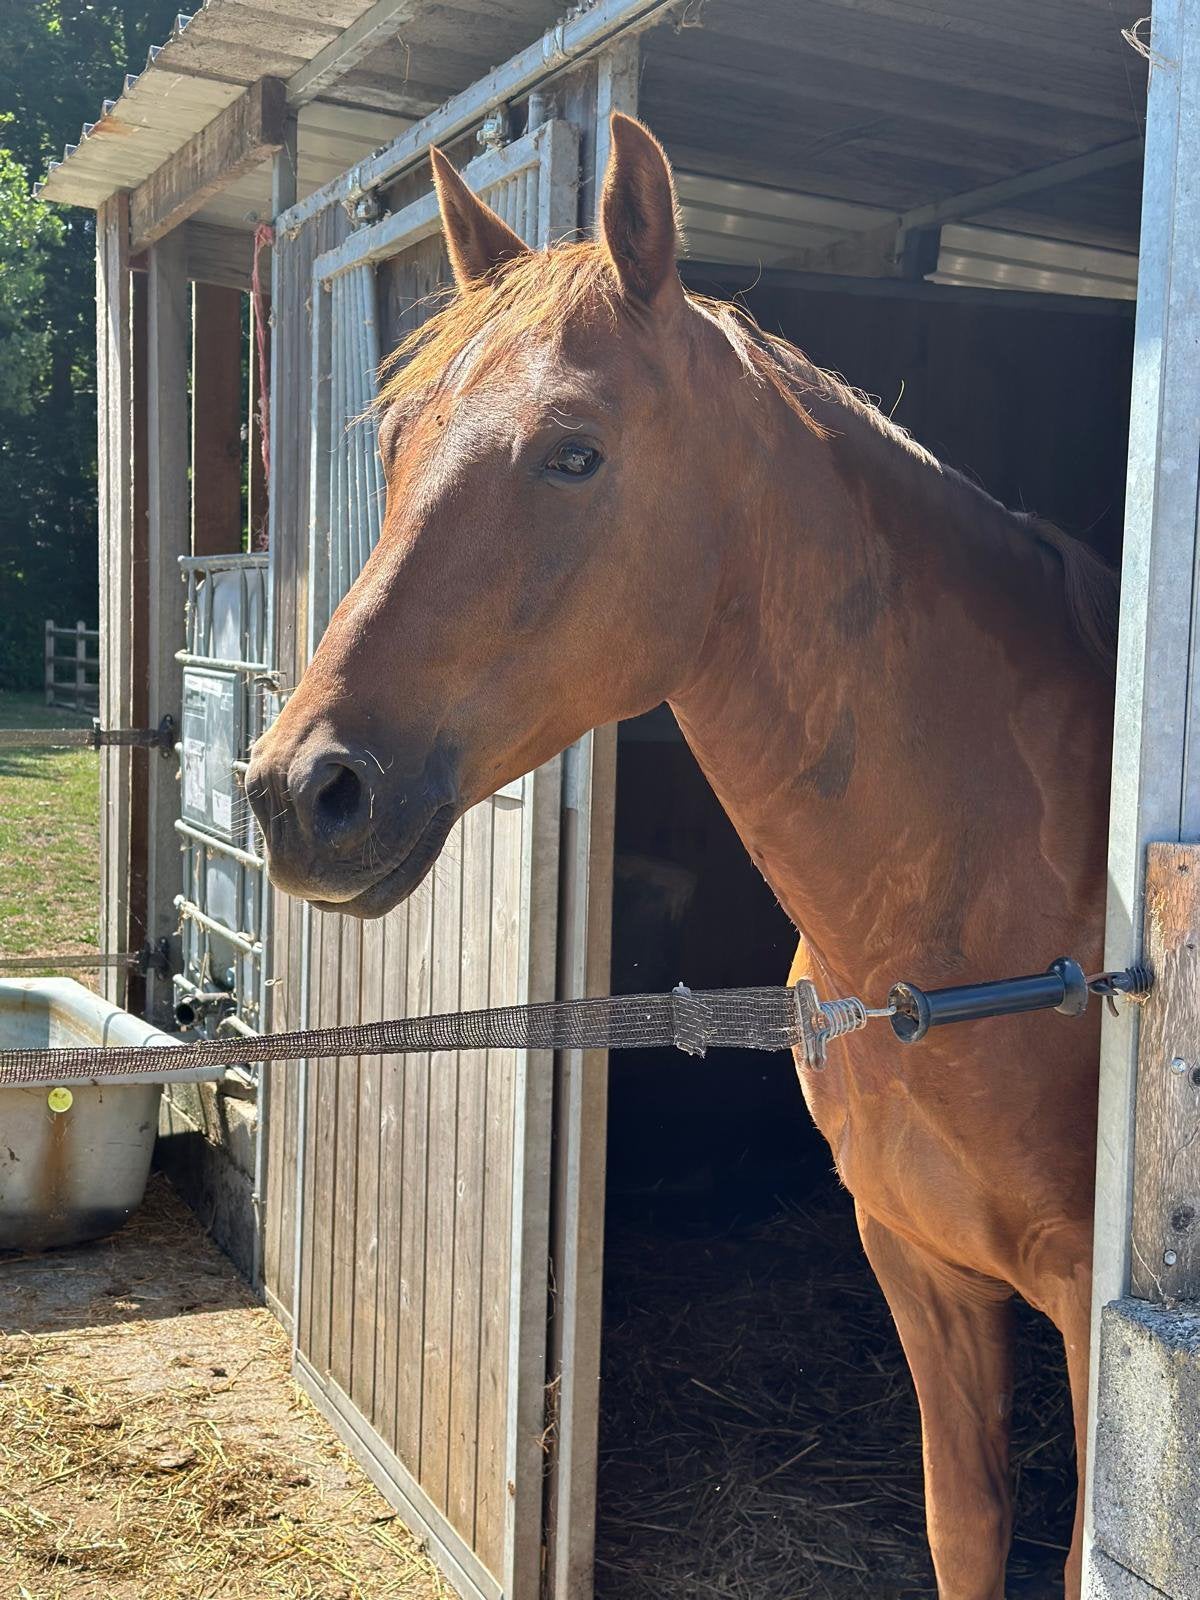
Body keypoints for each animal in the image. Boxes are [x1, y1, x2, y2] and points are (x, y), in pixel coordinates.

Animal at [246, 113, 1117, 1599]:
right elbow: (965, 1530)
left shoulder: (1090, 1321)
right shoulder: (919, 1265)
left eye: (574, 452)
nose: (304, 791)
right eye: (403, 439)